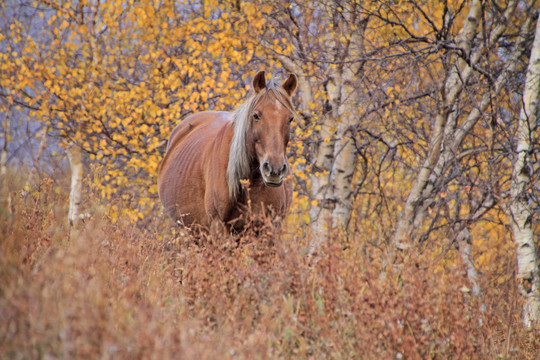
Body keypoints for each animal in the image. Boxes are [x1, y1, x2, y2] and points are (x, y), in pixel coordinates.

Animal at [158, 71, 298, 233]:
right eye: (256, 115)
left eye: (290, 118)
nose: (274, 169)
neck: (252, 182)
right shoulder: (219, 226)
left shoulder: (272, 227)